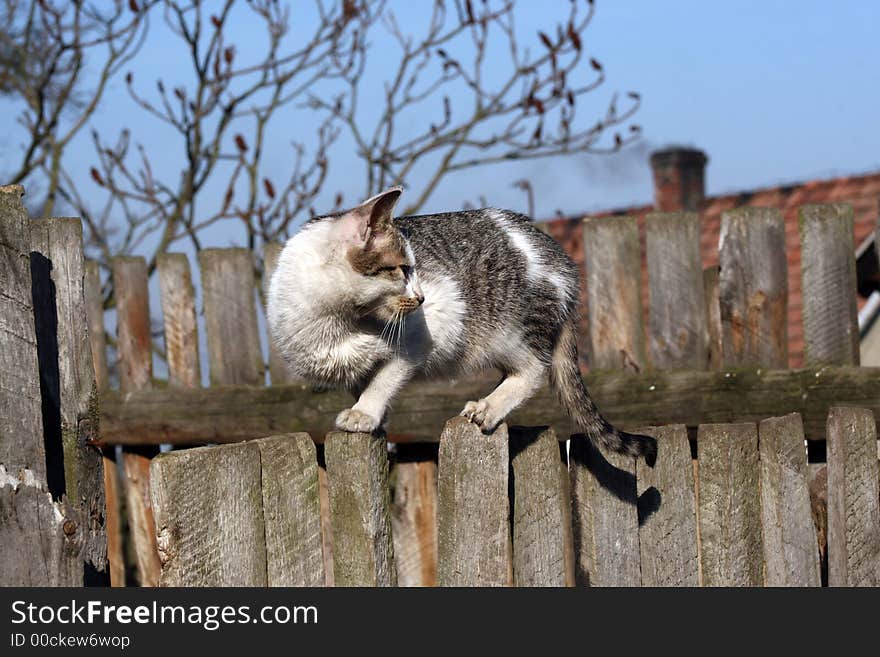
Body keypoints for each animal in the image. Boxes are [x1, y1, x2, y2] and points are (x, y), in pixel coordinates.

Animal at [264, 184, 656, 462]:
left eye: (415, 270)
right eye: (402, 269)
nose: (420, 297)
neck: (336, 320)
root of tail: (561, 258)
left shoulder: (420, 338)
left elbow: (383, 380)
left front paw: (364, 412)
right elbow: (365, 379)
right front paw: (376, 420)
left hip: (511, 329)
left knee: (534, 369)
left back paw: (489, 407)